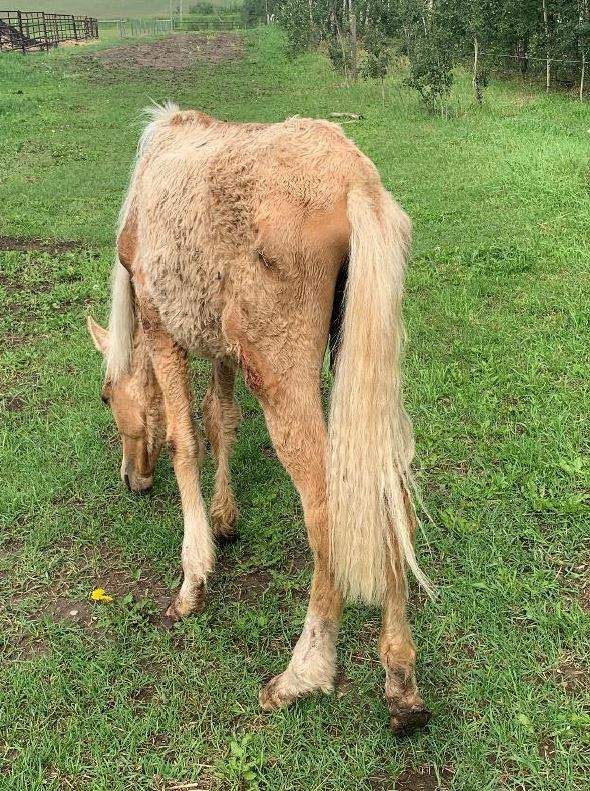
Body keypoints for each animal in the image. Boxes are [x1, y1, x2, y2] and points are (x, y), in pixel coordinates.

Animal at [87, 103, 432, 733]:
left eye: (106, 396)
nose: (131, 479)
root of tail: (356, 182)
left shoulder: (161, 328)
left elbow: (184, 441)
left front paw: (194, 575)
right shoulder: (222, 346)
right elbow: (219, 418)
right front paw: (225, 518)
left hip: (280, 374)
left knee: (327, 509)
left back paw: (305, 672)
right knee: (387, 495)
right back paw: (401, 684)